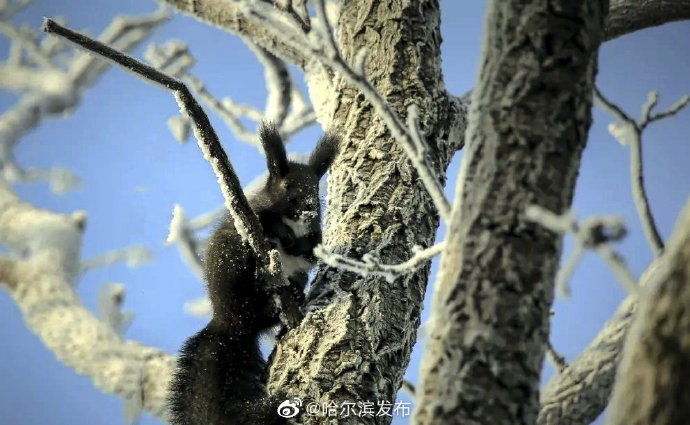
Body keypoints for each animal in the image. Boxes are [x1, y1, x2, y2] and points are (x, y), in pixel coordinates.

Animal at [169, 123, 336, 424]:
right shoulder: (256, 213)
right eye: (288, 187)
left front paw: (301, 244)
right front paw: (283, 236)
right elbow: (267, 222)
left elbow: (312, 248)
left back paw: (293, 297)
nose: (309, 208)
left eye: (316, 189)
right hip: (234, 269)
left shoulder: (313, 234)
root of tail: (231, 324)